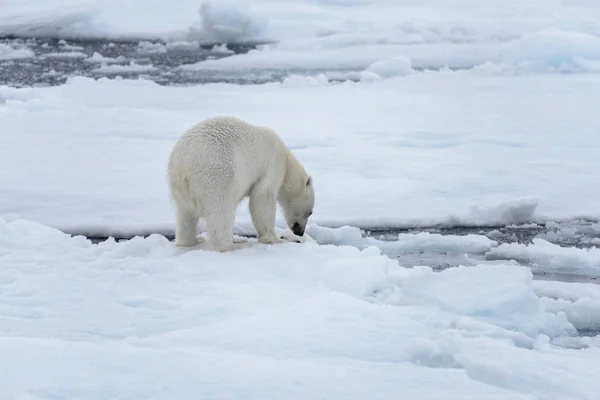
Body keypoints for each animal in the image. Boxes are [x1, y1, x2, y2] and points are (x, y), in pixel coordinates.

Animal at [164, 115, 314, 252]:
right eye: (310, 212)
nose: (300, 232)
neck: (287, 160)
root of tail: (182, 166)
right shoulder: (272, 165)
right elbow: (262, 197)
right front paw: (274, 239)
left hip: (179, 190)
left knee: (185, 216)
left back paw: (193, 240)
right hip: (216, 176)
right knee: (221, 212)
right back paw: (234, 245)